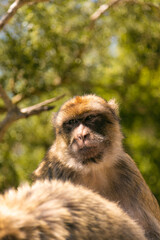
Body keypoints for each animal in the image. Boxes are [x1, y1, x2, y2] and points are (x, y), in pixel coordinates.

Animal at [32, 94, 160, 239]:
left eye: (90, 118)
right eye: (72, 122)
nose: (82, 136)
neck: (92, 168)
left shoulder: (128, 170)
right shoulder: (55, 170)